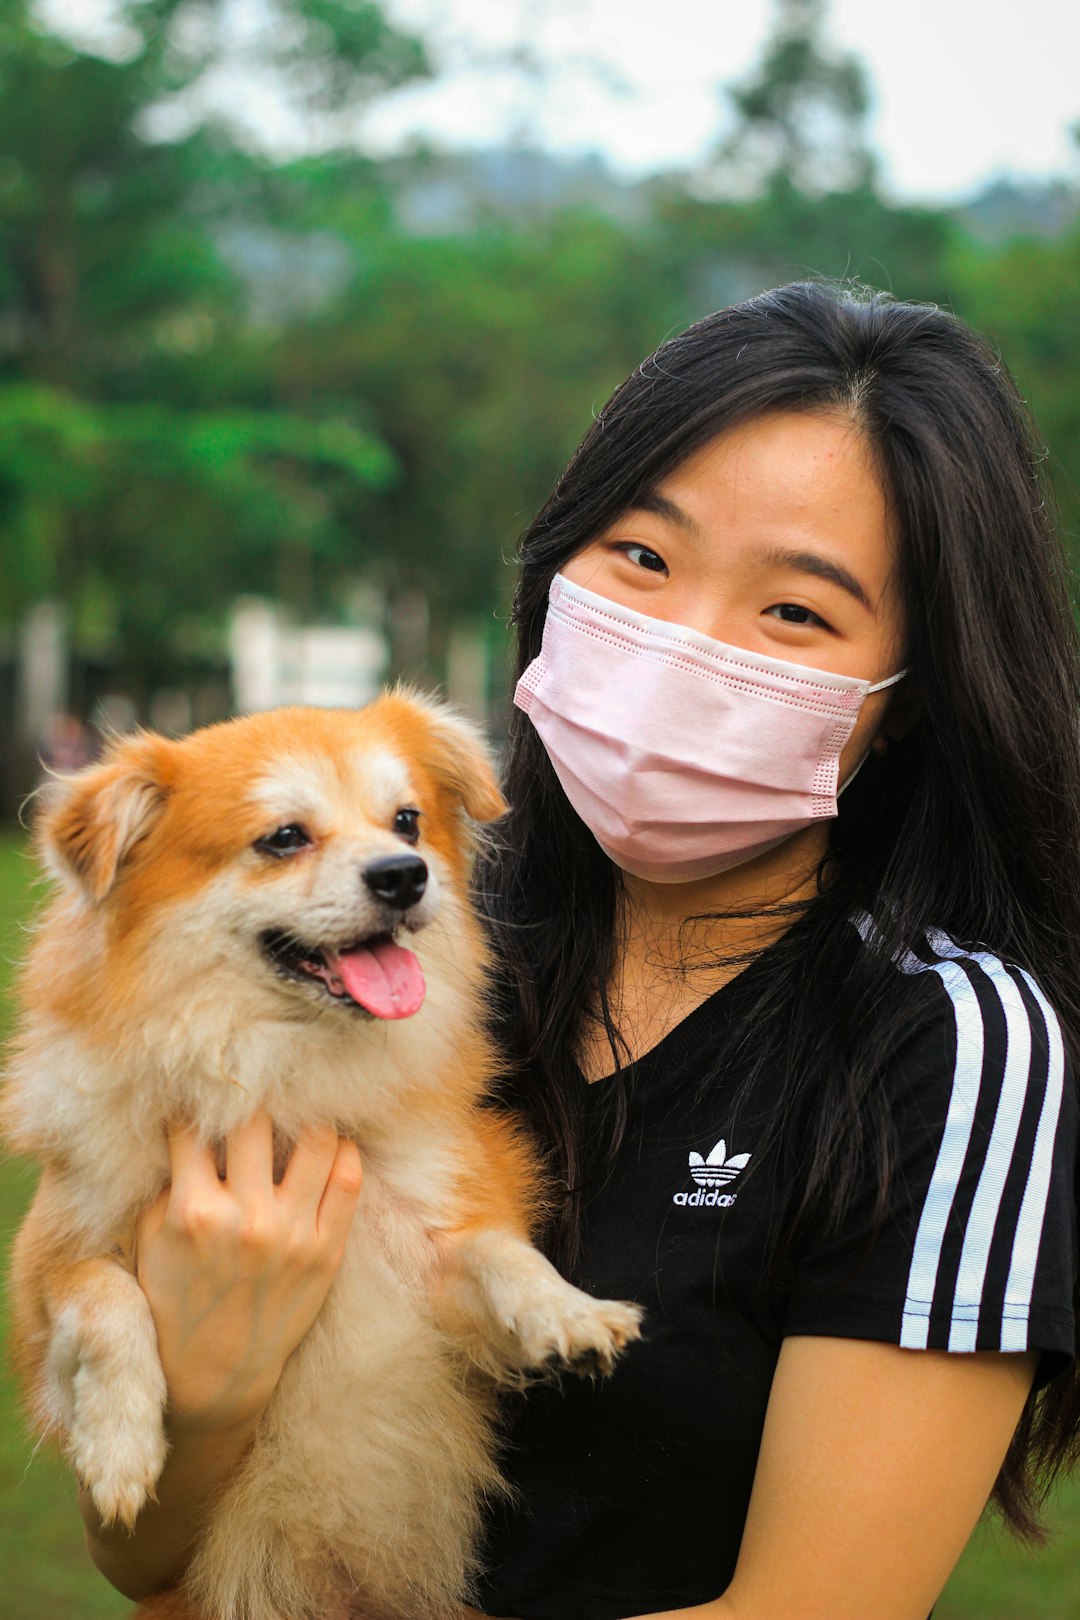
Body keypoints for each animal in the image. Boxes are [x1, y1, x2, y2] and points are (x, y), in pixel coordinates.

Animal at [2, 696, 641, 1620]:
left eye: (407, 821)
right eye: (284, 838)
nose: (405, 874)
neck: (281, 1078)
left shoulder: (430, 1279)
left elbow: (499, 1253)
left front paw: (569, 1309)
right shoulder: (46, 1274)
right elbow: (104, 1298)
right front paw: (119, 1445)